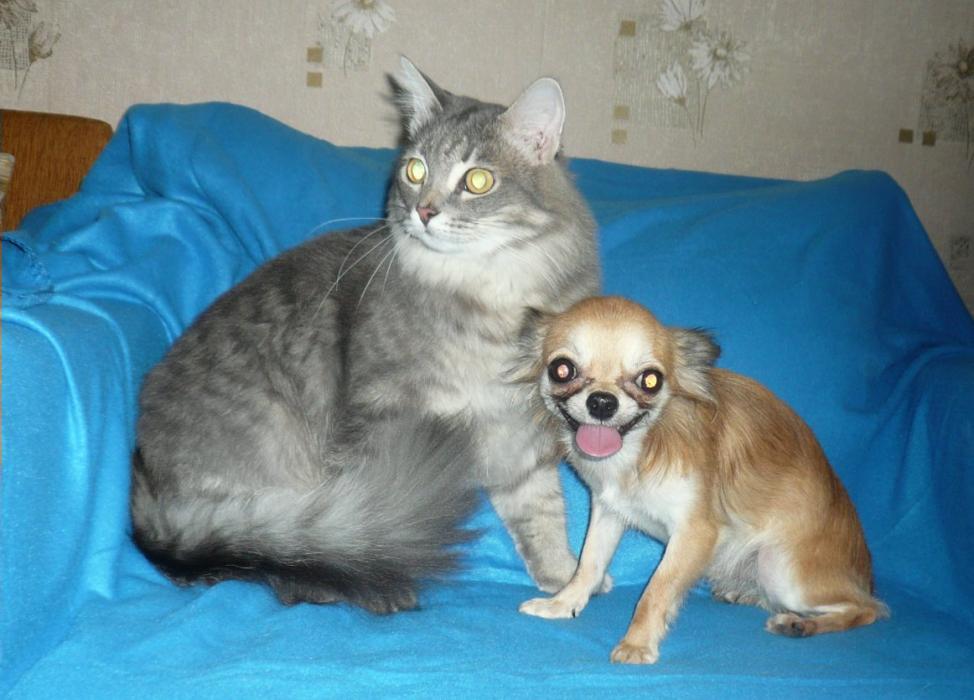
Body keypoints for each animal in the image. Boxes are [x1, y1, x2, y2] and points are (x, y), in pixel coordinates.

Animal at [131, 57, 601, 613]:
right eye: (415, 171)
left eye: (479, 180)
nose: (425, 211)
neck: (488, 299)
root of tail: (153, 498)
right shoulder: (383, 412)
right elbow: (375, 523)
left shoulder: (522, 438)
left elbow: (544, 515)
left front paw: (565, 581)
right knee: (297, 552)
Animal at [519, 296, 886, 664]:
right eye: (562, 370)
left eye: (650, 380)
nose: (602, 401)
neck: (638, 448)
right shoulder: (608, 513)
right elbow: (588, 565)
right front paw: (563, 604)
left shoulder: (696, 533)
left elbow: (657, 590)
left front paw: (637, 644)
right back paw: (746, 595)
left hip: (783, 570)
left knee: (869, 609)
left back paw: (800, 624)